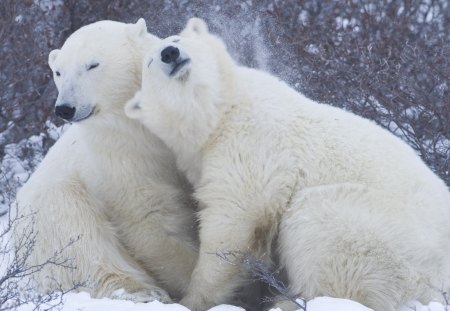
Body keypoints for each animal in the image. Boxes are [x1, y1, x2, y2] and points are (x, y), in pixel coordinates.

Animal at [14, 18, 198, 304]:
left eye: (92, 64)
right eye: (59, 72)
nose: (65, 108)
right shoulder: (119, 157)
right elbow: (150, 218)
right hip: (47, 215)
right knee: (79, 235)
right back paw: (141, 291)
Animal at [124, 18, 450, 311]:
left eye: (176, 39)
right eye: (150, 61)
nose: (170, 54)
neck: (220, 112)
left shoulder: (250, 143)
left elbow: (234, 219)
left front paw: (192, 299)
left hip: (386, 241)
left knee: (319, 226)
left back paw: (290, 300)